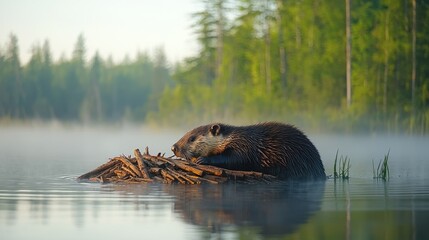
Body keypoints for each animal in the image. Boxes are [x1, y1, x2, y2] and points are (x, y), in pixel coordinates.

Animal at [171, 123, 324, 179]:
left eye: (191, 138)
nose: (173, 147)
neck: (233, 137)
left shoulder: (244, 147)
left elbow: (233, 159)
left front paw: (202, 159)